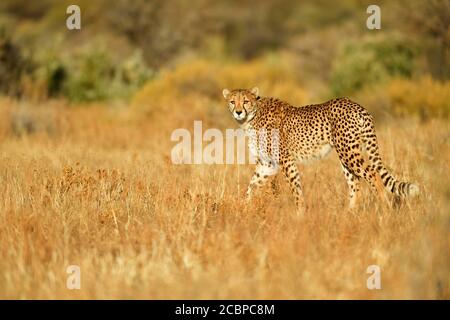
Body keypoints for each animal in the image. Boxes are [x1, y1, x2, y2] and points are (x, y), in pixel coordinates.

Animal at [223, 87, 420, 212]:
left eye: (245, 101)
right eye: (232, 101)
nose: (238, 111)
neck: (252, 116)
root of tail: (356, 105)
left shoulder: (286, 161)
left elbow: (295, 187)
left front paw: (300, 213)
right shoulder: (266, 163)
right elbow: (252, 185)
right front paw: (245, 206)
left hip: (348, 152)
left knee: (372, 174)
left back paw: (383, 205)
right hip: (346, 156)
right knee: (355, 183)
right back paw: (349, 214)